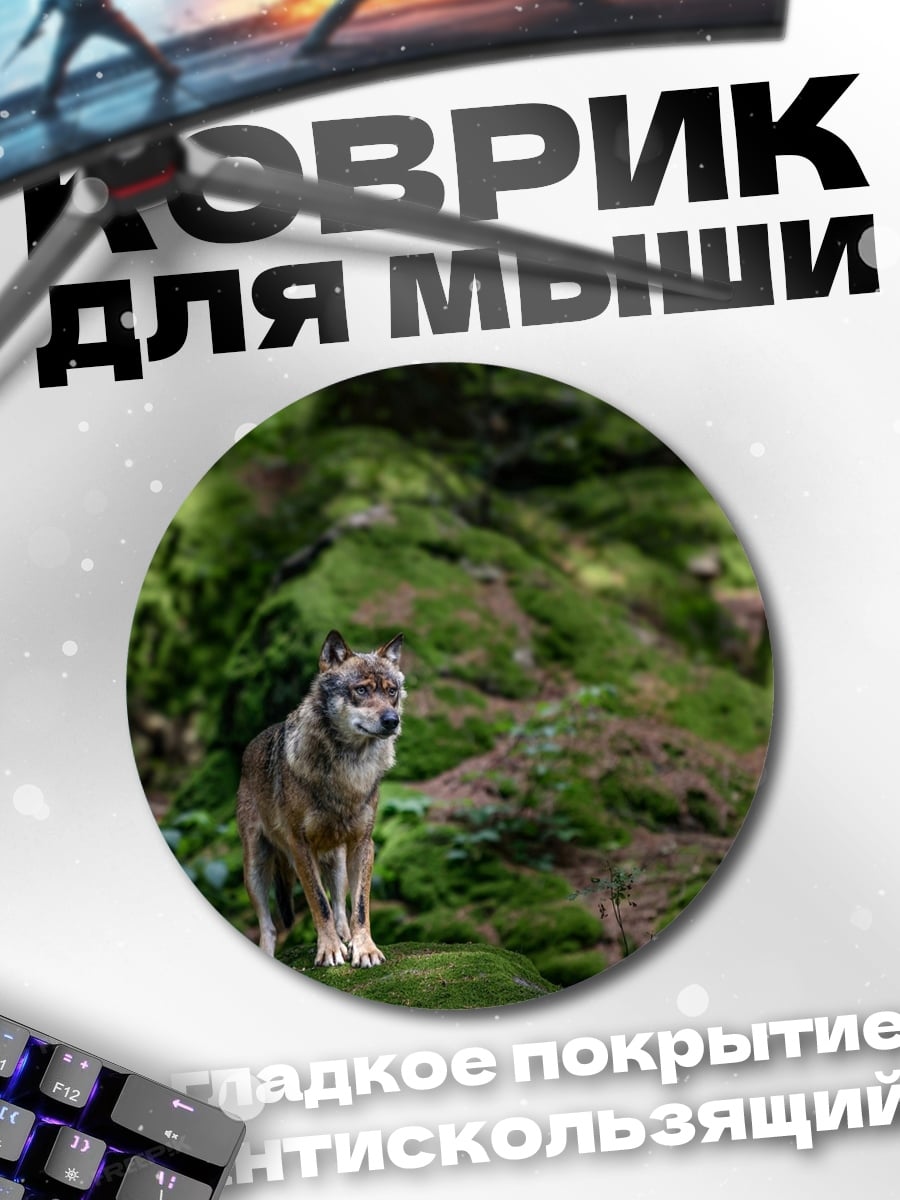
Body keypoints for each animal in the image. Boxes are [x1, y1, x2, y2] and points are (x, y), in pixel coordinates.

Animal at [236, 629, 405, 967]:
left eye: (391, 691)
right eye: (361, 690)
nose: (392, 720)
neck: (348, 769)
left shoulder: (363, 844)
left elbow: (359, 907)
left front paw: (364, 949)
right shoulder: (300, 847)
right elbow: (319, 903)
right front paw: (328, 951)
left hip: (335, 862)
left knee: (340, 908)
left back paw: (346, 940)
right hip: (256, 868)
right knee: (269, 927)